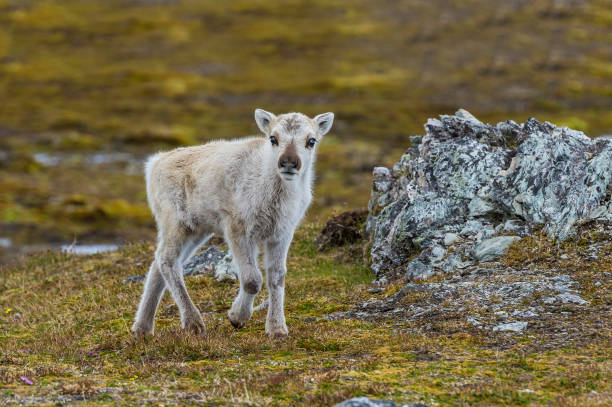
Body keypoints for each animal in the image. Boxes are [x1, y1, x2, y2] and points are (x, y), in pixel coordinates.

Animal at [133, 110, 334, 340]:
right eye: (273, 138)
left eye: (311, 141)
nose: (289, 163)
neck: (275, 197)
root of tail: (154, 163)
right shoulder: (237, 227)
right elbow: (252, 279)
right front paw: (237, 317)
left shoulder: (281, 233)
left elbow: (277, 276)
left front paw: (277, 329)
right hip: (175, 222)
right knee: (167, 261)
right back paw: (193, 323)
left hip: (197, 229)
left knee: (157, 264)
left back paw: (142, 328)